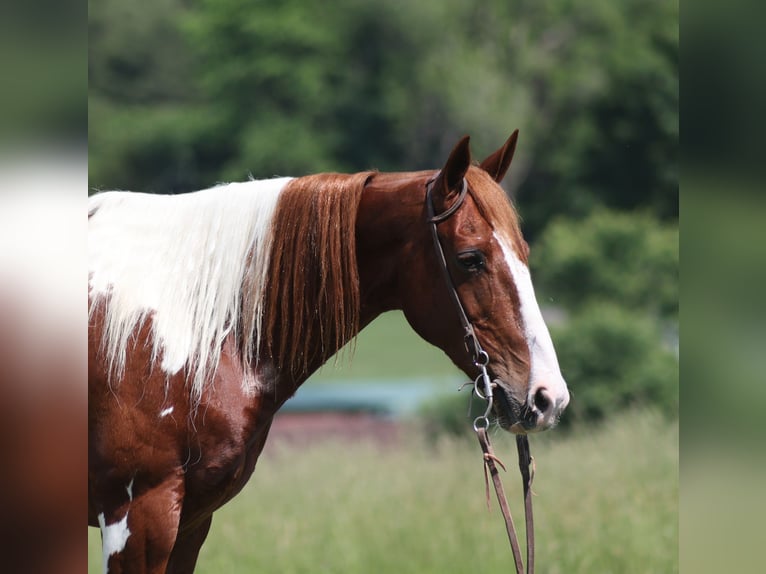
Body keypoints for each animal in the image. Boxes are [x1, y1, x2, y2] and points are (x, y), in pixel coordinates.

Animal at [88, 132, 570, 573]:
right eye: (471, 259)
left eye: (525, 252)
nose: (548, 396)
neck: (190, 331)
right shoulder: (139, 517)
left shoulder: (191, 523)